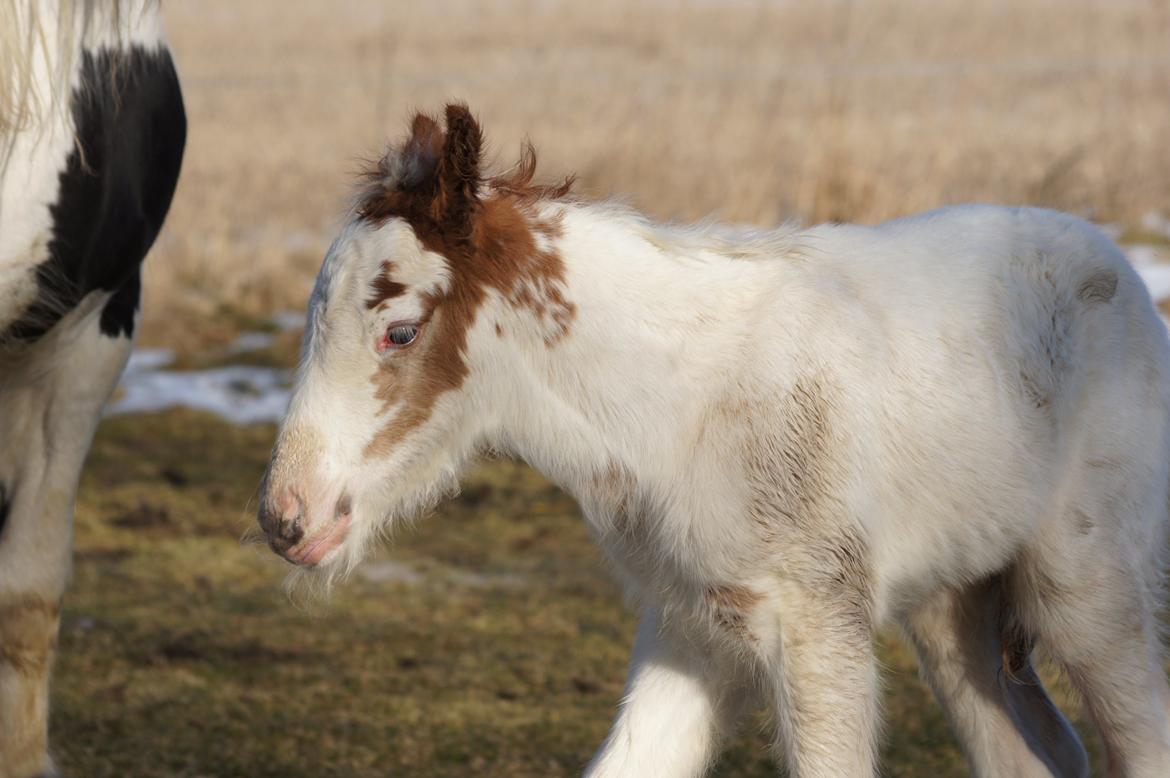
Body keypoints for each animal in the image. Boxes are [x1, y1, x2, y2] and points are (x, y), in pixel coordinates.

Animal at [258, 104, 1170, 776]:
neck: (679, 407)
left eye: (400, 332)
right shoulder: (688, 625)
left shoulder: (819, 623)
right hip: (956, 607)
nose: (286, 517)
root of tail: (1119, 269)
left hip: (1089, 590)